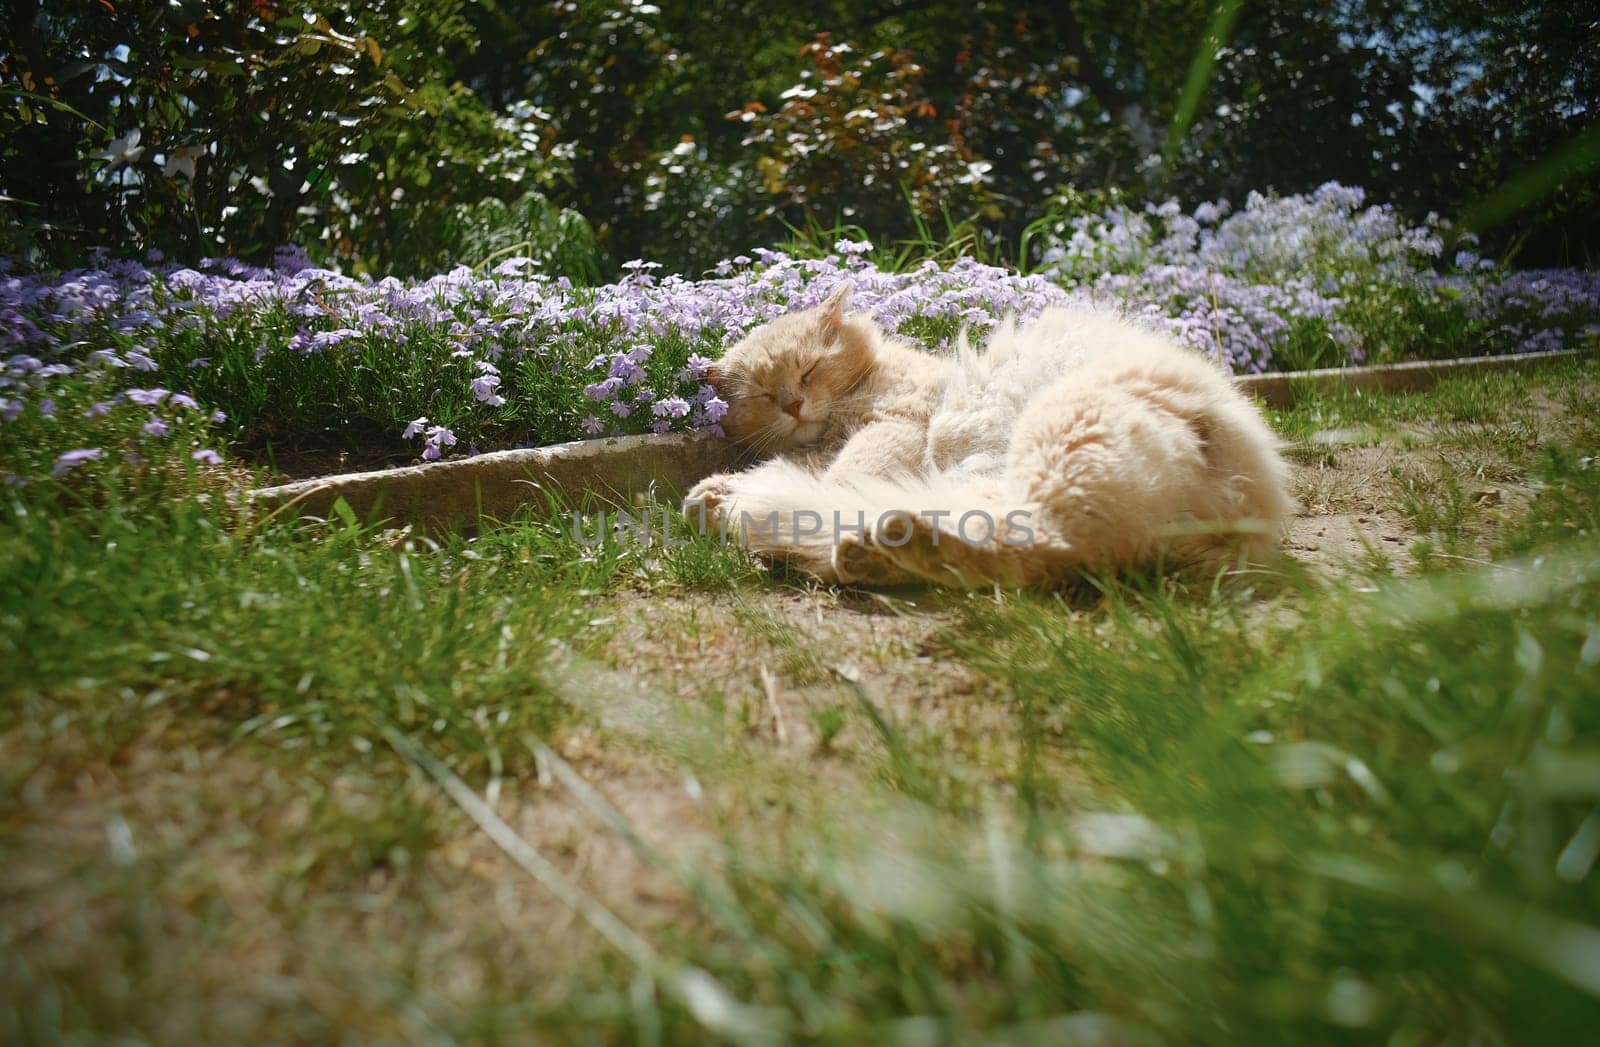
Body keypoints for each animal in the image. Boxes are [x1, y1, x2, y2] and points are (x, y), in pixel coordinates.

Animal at [681, 284, 1292, 589]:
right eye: (765, 394)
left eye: (807, 372)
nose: (794, 405)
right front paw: (715, 492)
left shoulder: (896, 426)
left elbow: (842, 474)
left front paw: (733, 493)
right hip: (998, 484)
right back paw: (865, 552)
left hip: (1061, 433)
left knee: (1033, 556)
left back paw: (892, 542)